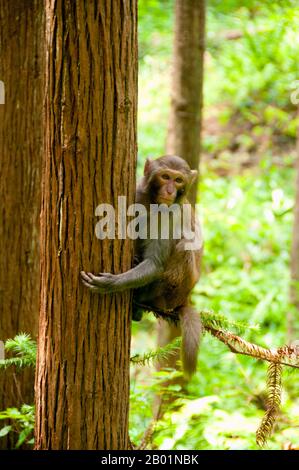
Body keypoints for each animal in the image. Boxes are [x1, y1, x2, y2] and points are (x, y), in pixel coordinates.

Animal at [81, 156, 204, 376]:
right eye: (165, 177)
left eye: (178, 180)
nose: (170, 191)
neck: (154, 203)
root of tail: (184, 299)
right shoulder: (138, 193)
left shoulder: (170, 215)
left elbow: (155, 263)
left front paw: (111, 284)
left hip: (171, 293)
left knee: (183, 247)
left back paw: (141, 300)